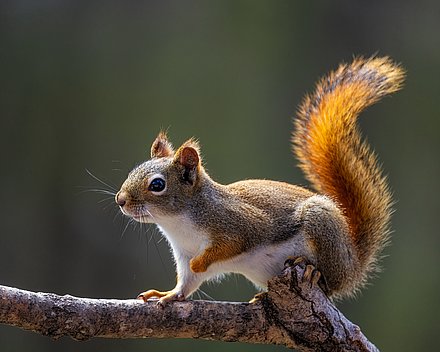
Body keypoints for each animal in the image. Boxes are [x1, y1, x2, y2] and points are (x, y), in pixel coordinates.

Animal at [114, 56, 406, 304]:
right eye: (133, 171)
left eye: (157, 185)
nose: (120, 200)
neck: (178, 223)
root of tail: (354, 264)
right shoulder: (184, 254)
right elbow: (187, 282)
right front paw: (168, 294)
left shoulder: (239, 224)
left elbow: (227, 247)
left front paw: (201, 262)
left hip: (322, 226)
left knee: (330, 282)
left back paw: (313, 271)